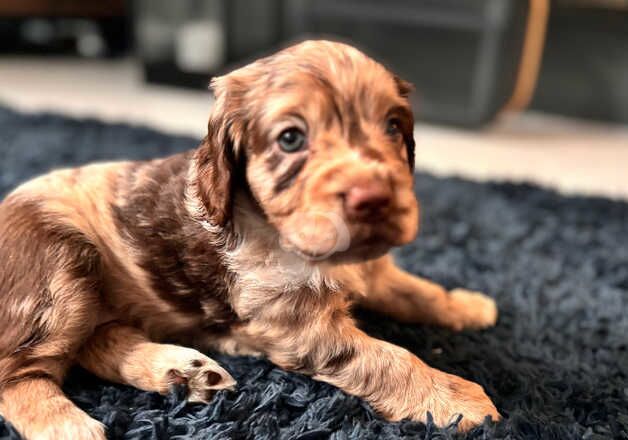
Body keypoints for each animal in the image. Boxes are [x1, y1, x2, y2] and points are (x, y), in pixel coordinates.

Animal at [0, 40, 500, 436]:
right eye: (291, 138)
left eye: (393, 126)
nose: (374, 198)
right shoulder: (298, 328)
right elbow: (387, 358)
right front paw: (456, 397)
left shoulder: (373, 272)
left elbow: (420, 292)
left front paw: (468, 306)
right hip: (62, 268)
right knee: (17, 373)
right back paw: (68, 425)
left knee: (96, 344)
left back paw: (181, 373)